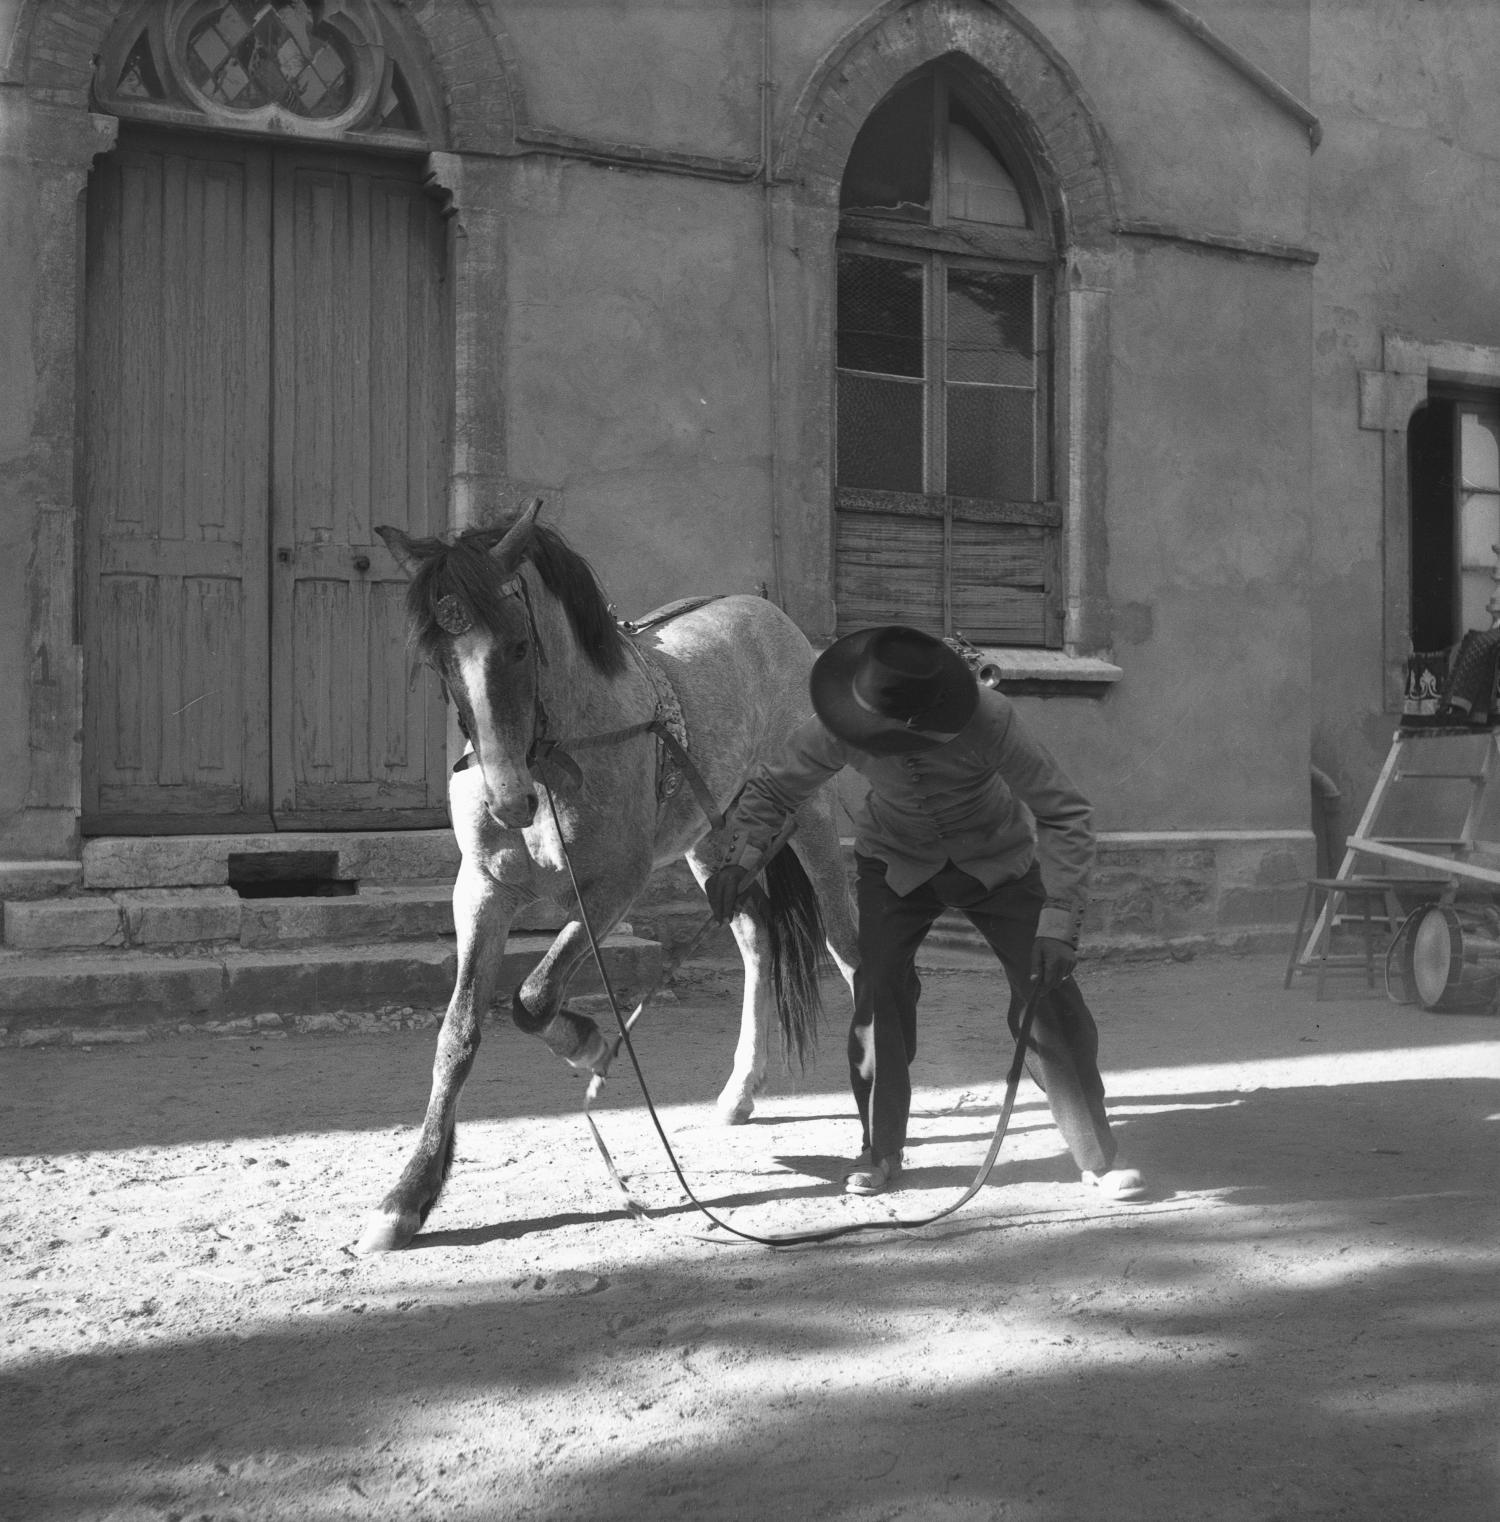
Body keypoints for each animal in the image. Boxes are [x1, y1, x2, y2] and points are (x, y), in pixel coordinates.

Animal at [359, 505, 851, 1254]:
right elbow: (460, 1032)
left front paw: (589, 1045)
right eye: (439, 658)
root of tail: (775, 620)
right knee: (757, 939)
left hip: (813, 821)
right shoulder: (483, 891)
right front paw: (408, 1195)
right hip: (714, 843)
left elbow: (532, 996)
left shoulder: (615, 888)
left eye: (519, 646)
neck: (558, 756)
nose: (506, 801)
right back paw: (739, 1091)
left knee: (848, 946)